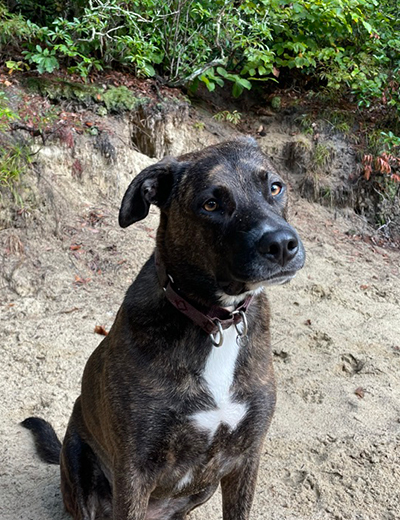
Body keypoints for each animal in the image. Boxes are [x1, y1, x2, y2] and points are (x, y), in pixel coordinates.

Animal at [22, 137, 305, 520]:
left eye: (275, 187)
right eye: (211, 204)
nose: (281, 244)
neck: (215, 321)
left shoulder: (246, 458)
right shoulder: (134, 473)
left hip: (205, 486)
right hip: (78, 460)